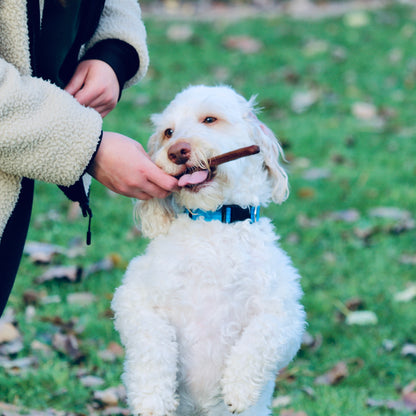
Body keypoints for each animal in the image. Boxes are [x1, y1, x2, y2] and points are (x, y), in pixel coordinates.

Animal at [111, 85, 306, 416]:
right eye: (168, 132)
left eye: (210, 119)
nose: (177, 150)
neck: (213, 223)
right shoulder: (134, 298)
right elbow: (152, 341)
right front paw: (152, 398)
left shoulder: (286, 313)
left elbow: (260, 338)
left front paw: (238, 388)